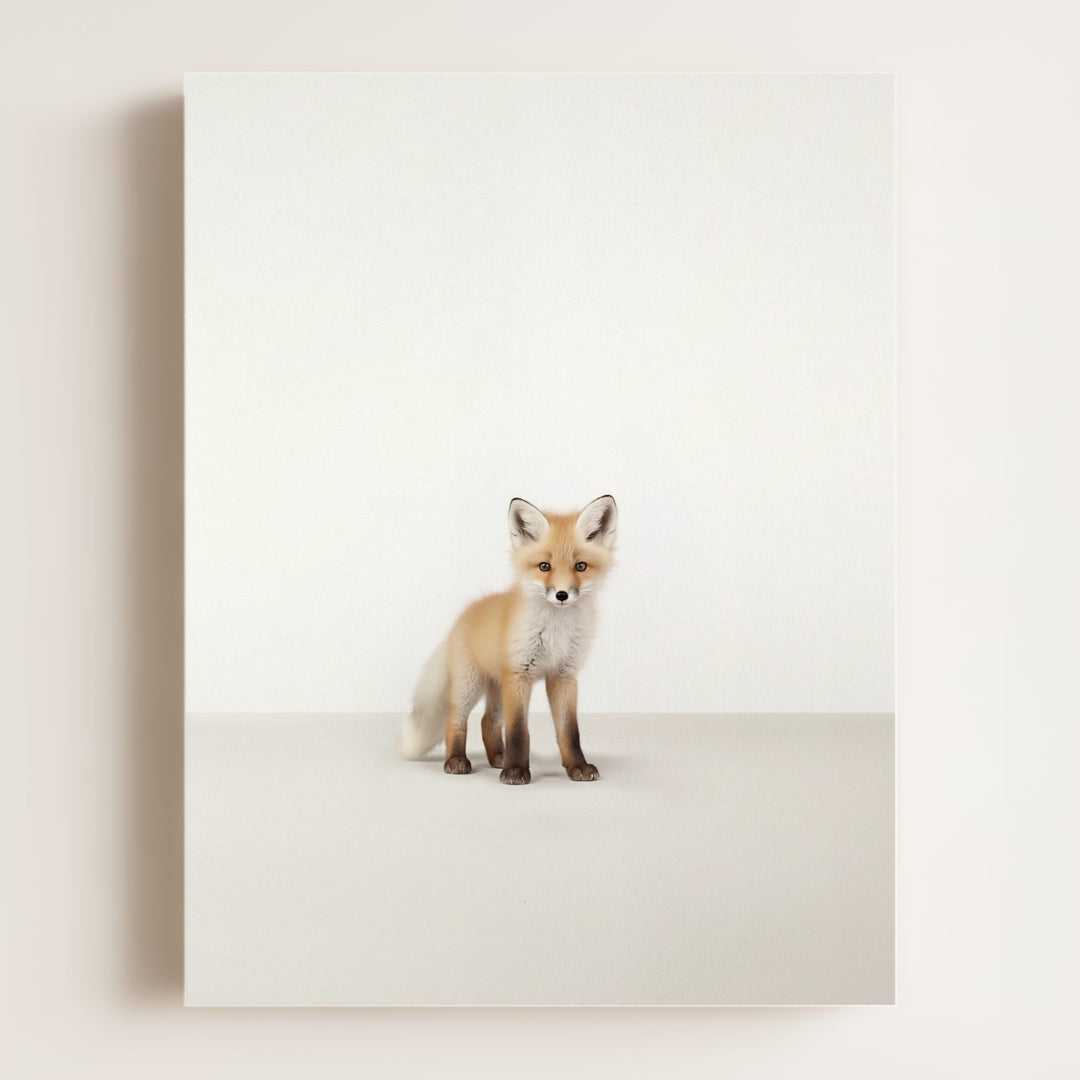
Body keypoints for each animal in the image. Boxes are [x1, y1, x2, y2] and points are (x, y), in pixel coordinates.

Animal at [400, 494, 618, 785]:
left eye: (580, 566)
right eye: (544, 566)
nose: (561, 595)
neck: (555, 631)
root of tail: (462, 617)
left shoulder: (563, 675)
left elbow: (569, 731)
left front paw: (576, 767)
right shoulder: (519, 674)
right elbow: (518, 731)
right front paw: (516, 770)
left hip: (498, 687)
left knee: (487, 721)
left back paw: (497, 758)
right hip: (470, 684)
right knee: (455, 720)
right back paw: (456, 760)